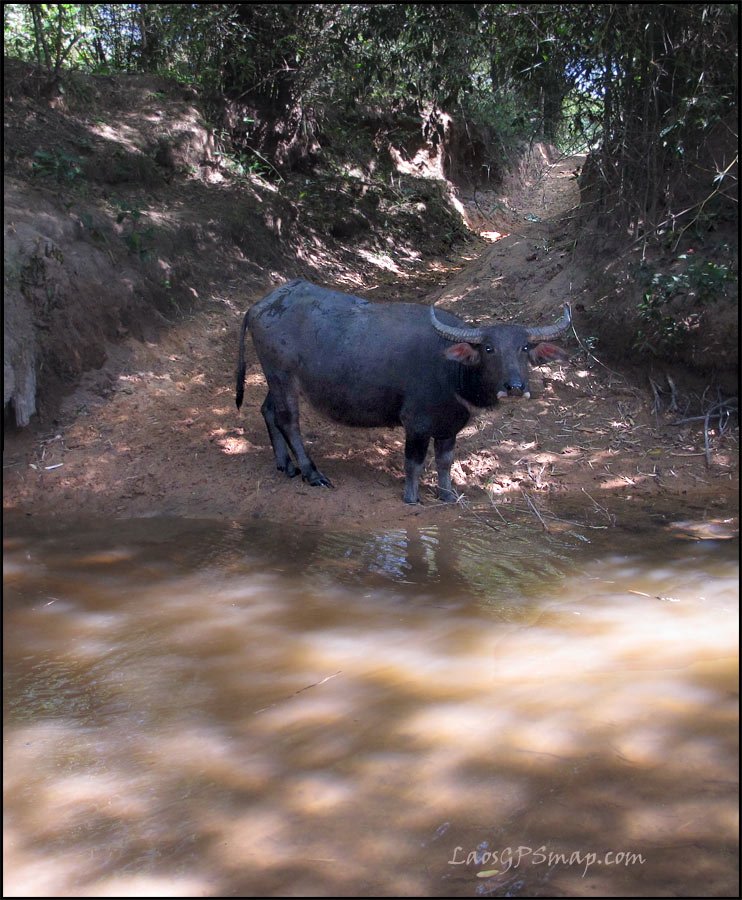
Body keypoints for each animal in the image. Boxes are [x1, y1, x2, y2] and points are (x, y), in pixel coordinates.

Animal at [235, 280, 572, 502]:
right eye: (489, 348)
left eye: (524, 347)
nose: (515, 386)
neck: (450, 369)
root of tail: (260, 306)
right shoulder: (416, 423)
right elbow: (415, 462)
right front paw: (412, 498)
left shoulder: (449, 427)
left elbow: (444, 461)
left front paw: (448, 495)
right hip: (282, 375)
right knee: (288, 420)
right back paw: (312, 473)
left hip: (275, 378)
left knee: (268, 410)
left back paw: (285, 465)